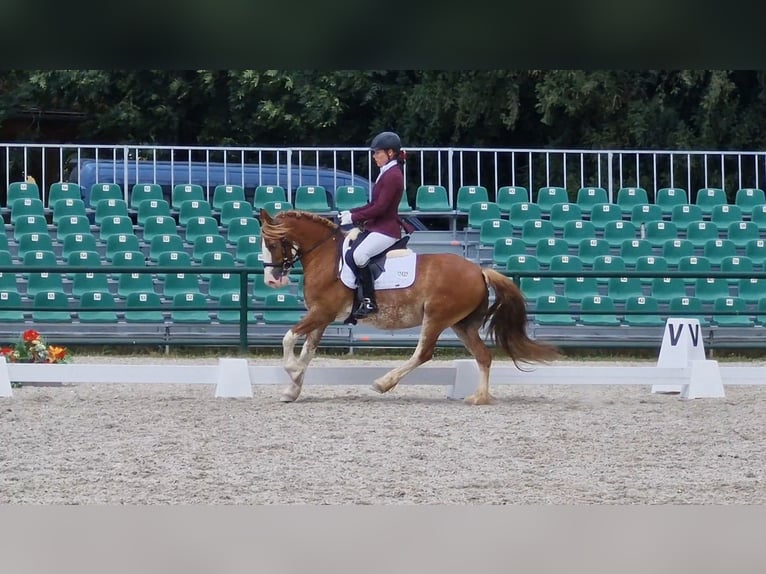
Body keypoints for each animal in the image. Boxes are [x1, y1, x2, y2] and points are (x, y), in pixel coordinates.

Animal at [258, 210, 560, 404]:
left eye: (272, 243)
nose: (271, 280)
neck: (325, 256)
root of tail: (479, 270)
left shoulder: (322, 312)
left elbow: (289, 339)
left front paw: (292, 372)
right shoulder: (321, 315)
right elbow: (307, 352)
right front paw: (292, 390)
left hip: (436, 317)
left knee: (423, 353)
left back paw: (383, 383)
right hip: (461, 324)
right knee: (483, 356)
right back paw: (479, 398)